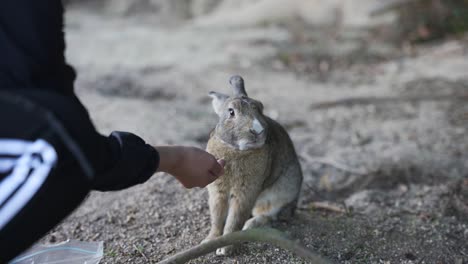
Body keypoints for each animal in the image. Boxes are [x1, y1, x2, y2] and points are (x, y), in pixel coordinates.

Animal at [202, 75, 304, 255]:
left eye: (261, 109)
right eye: (231, 112)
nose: (257, 130)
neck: (236, 150)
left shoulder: (246, 191)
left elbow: (235, 219)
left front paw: (225, 248)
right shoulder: (217, 190)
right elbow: (217, 216)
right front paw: (209, 241)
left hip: (280, 193)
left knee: (270, 214)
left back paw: (250, 225)